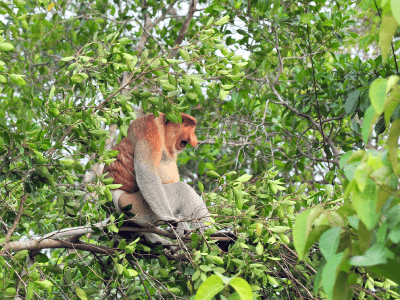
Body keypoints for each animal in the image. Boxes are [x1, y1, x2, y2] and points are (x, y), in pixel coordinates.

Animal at [103, 112, 211, 244]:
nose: (194, 140)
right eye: (186, 125)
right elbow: (145, 170)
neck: (163, 128)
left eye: (192, 127)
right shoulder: (149, 128)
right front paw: (169, 219)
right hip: (135, 207)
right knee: (182, 189)